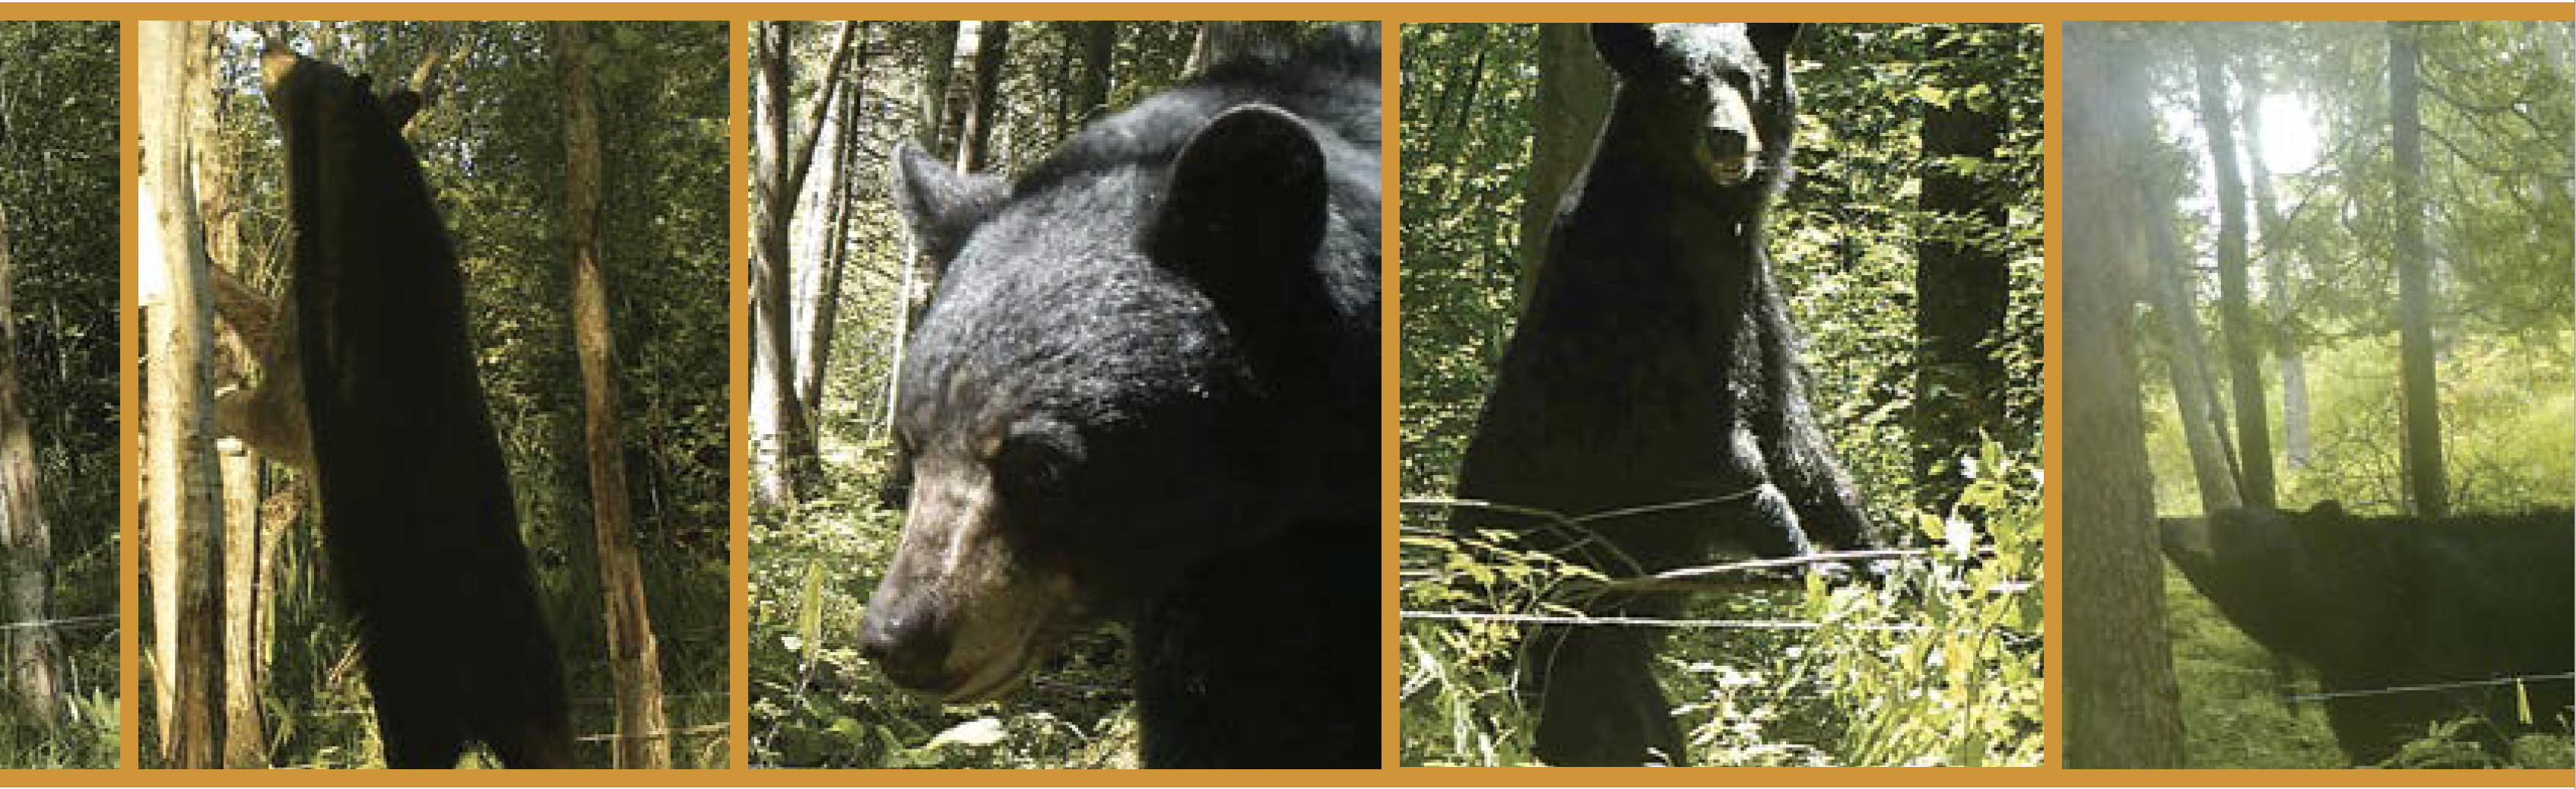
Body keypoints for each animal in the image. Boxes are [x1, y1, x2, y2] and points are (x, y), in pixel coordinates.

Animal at [1448, 23, 1880, 766]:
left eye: (1746, 79)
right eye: (1683, 86)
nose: (1728, 138)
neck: (1701, 220)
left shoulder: (1753, 292)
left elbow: (1793, 436)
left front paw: (1880, 559)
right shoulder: (1646, 306)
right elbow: (1714, 449)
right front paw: (1811, 562)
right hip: (1560, 634)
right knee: (1602, 729)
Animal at [2160, 502, 2575, 766]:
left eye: (2228, 521)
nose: (2166, 521)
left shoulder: (2453, 647)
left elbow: (2464, 742)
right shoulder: (2355, 682)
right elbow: (2370, 745)